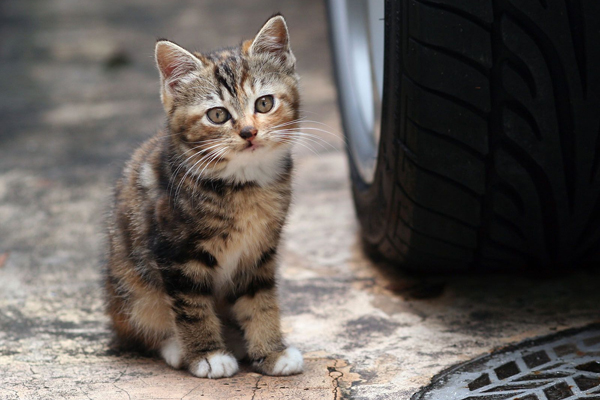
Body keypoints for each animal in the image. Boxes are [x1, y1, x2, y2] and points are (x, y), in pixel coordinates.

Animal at [103, 15, 304, 378]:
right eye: (218, 115)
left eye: (264, 103)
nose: (249, 132)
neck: (243, 186)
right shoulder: (174, 253)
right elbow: (191, 307)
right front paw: (207, 355)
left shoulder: (259, 253)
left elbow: (260, 301)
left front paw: (272, 351)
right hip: (130, 287)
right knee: (141, 327)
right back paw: (175, 347)